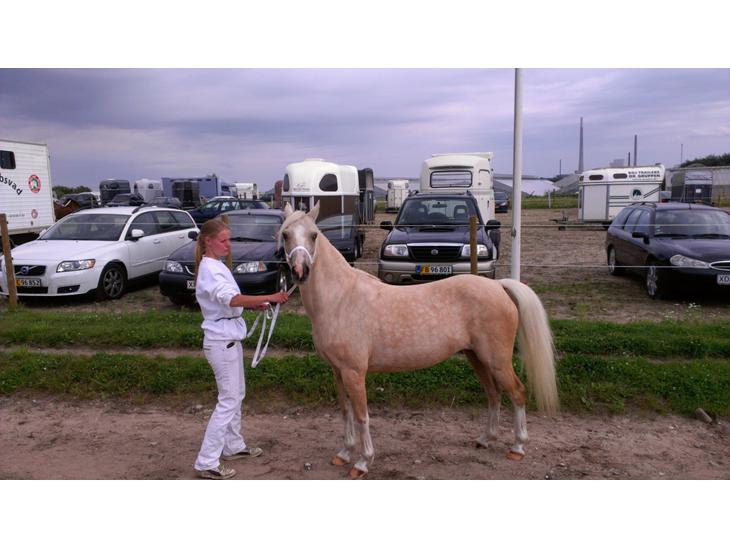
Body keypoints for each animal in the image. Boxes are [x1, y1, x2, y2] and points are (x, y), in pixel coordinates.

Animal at [279, 202, 559, 478]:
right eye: (285, 235)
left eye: (314, 235)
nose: (300, 271)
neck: (340, 298)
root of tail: (499, 286)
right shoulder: (338, 371)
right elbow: (345, 412)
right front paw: (344, 453)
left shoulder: (354, 372)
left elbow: (361, 416)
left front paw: (362, 462)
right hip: (477, 357)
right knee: (494, 394)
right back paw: (485, 439)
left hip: (497, 360)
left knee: (517, 393)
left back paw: (518, 447)